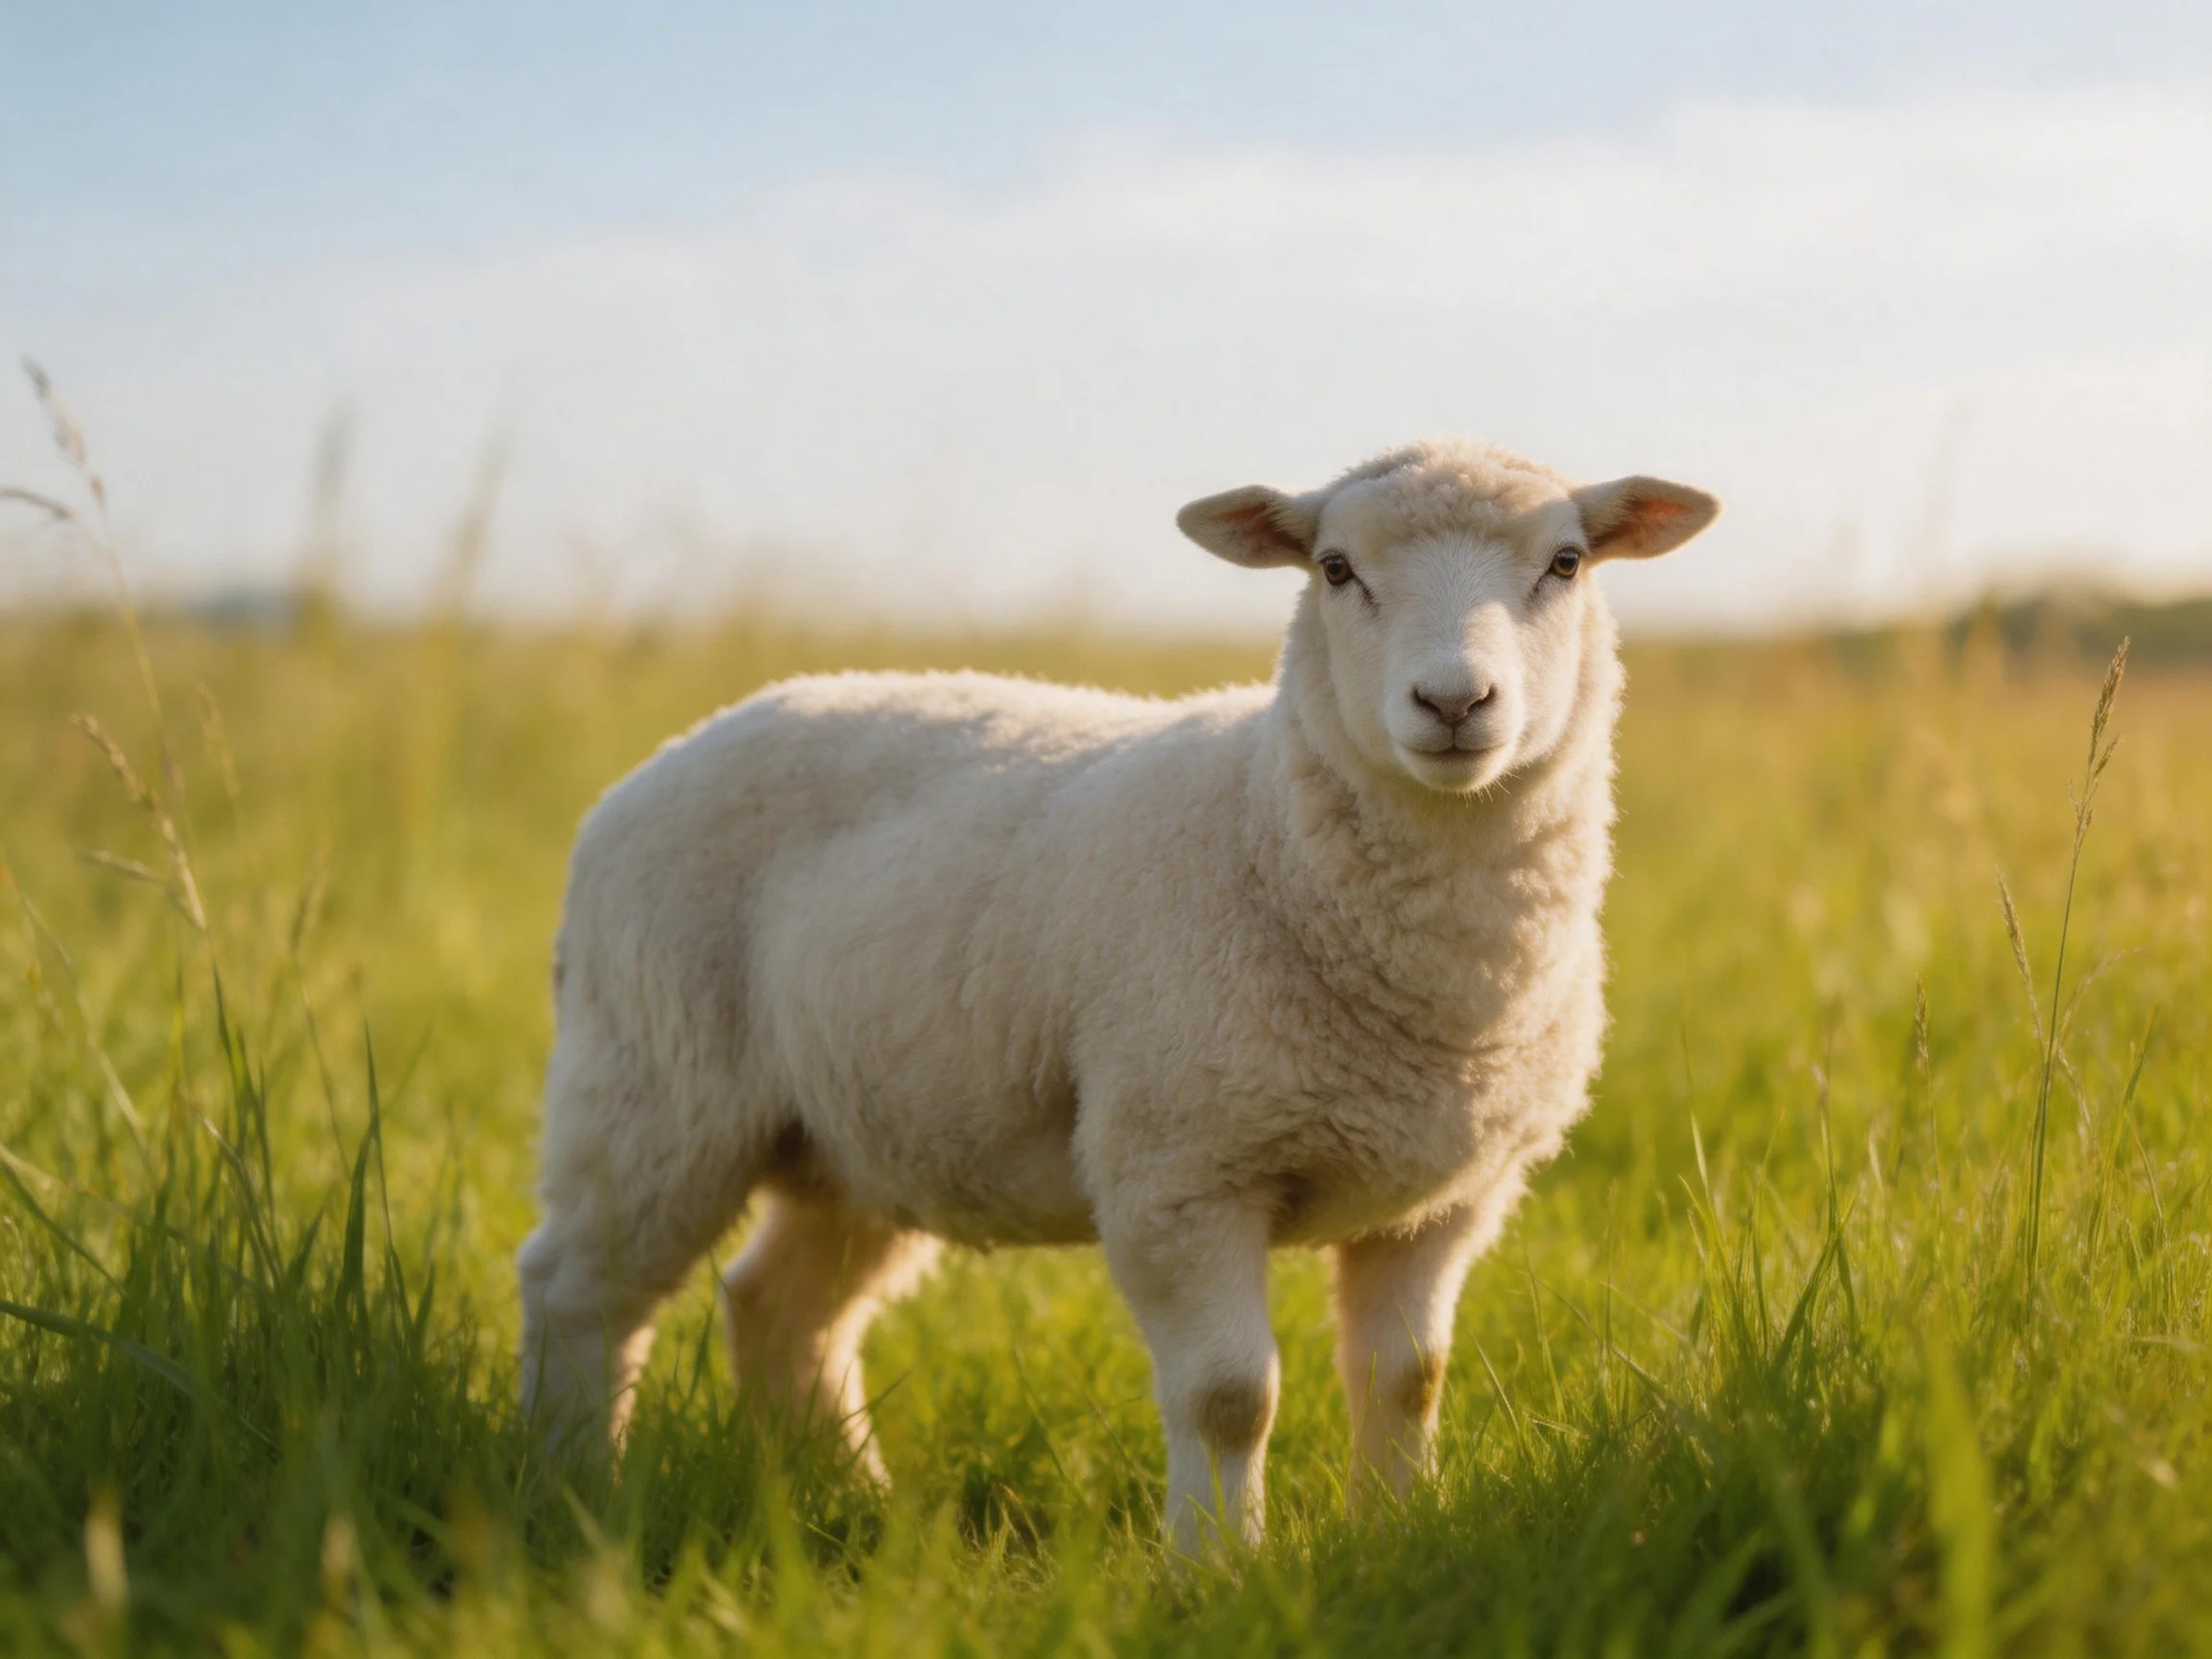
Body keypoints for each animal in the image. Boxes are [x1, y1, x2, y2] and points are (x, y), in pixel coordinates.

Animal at [516, 438, 1718, 1550]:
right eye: (1335, 569)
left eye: (1565, 562)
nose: (1455, 700)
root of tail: (668, 756)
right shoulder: (1178, 1169)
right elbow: (1230, 1398)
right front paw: (1218, 1573)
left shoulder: (1448, 1195)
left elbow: (1407, 1380)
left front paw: (1394, 1542)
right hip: (653, 1082)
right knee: (577, 1289)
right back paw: (575, 1490)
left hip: (857, 1128)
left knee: (782, 1307)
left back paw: (858, 1506)